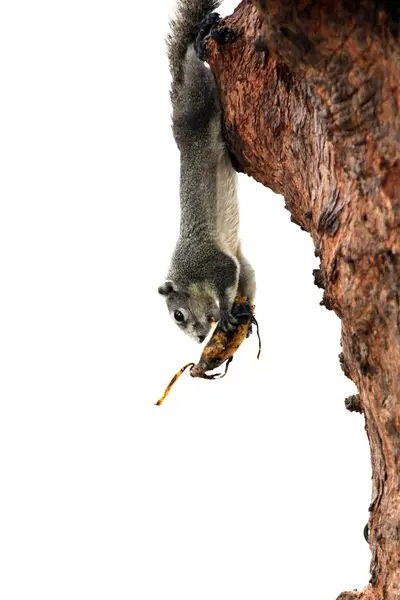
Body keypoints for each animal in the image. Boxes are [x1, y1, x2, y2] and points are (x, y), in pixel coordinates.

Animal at [157, 0, 256, 344]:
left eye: (178, 315)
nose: (200, 339)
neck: (187, 276)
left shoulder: (209, 262)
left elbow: (227, 274)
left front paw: (225, 312)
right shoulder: (238, 260)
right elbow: (247, 277)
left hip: (197, 99)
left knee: (194, 66)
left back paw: (199, 42)